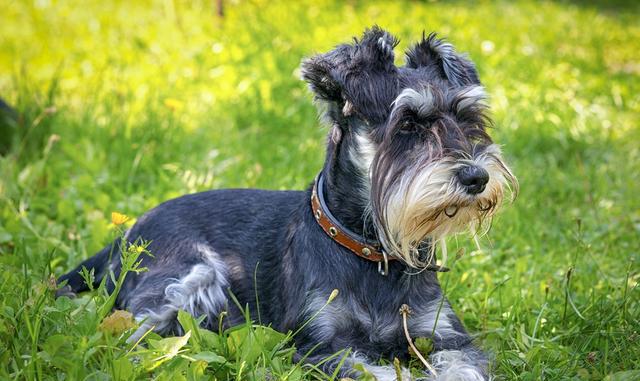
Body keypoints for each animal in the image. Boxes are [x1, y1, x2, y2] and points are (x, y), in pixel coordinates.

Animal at [58, 27, 516, 380]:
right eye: (408, 124)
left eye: (469, 118)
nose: (477, 177)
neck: (372, 251)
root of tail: (128, 232)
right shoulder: (321, 345)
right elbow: (373, 370)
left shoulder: (445, 336)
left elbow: (463, 366)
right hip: (188, 275)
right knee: (126, 335)